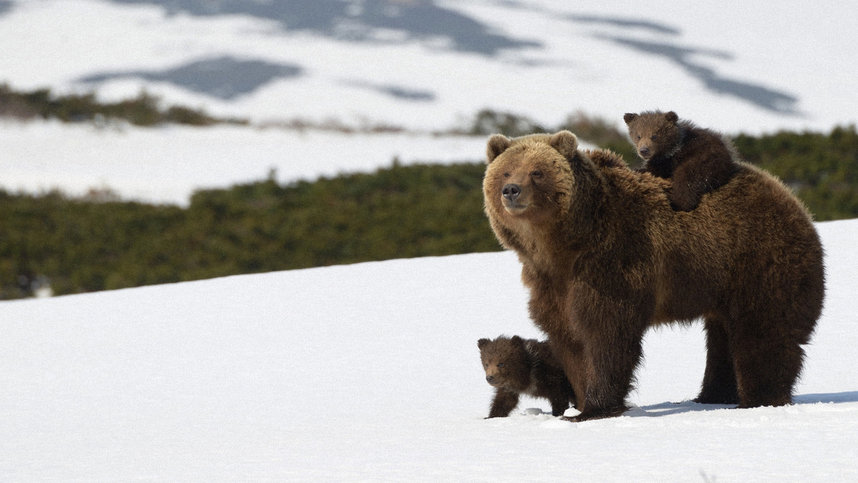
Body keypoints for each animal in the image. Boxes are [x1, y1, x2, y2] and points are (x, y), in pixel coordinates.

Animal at [482, 130, 824, 422]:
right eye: (506, 172)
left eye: (537, 172)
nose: (511, 190)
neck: (562, 246)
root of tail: (790, 197)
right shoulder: (551, 284)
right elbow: (570, 339)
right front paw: (576, 403)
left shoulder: (612, 264)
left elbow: (606, 334)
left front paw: (594, 408)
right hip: (719, 283)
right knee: (722, 337)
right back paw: (713, 395)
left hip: (758, 260)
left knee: (763, 332)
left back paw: (759, 399)